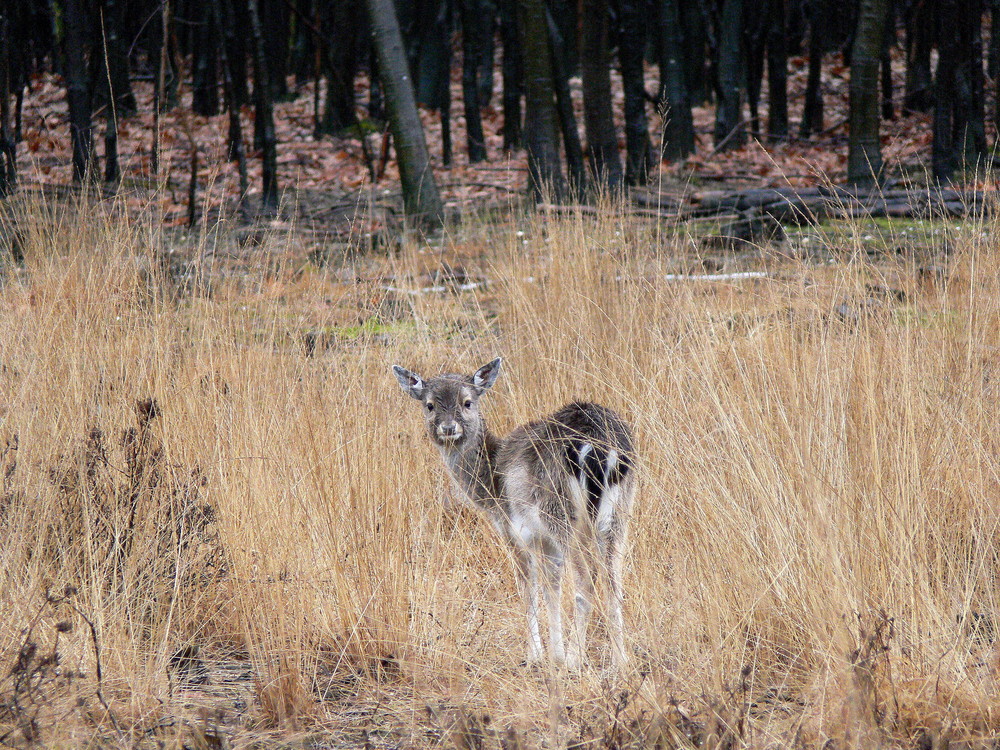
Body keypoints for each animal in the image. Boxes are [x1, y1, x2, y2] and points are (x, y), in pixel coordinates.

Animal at [392, 358, 640, 668]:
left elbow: (529, 589)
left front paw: (538, 656)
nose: (448, 428)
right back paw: (621, 662)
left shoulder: (517, 531)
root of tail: (597, 448)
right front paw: (554, 654)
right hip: (619, 513)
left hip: (559, 513)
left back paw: (575, 660)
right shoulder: (546, 542)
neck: (492, 488)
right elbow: (552, 588)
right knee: (613, 579)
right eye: (429, 405)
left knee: (585, 580)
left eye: (467, 402)